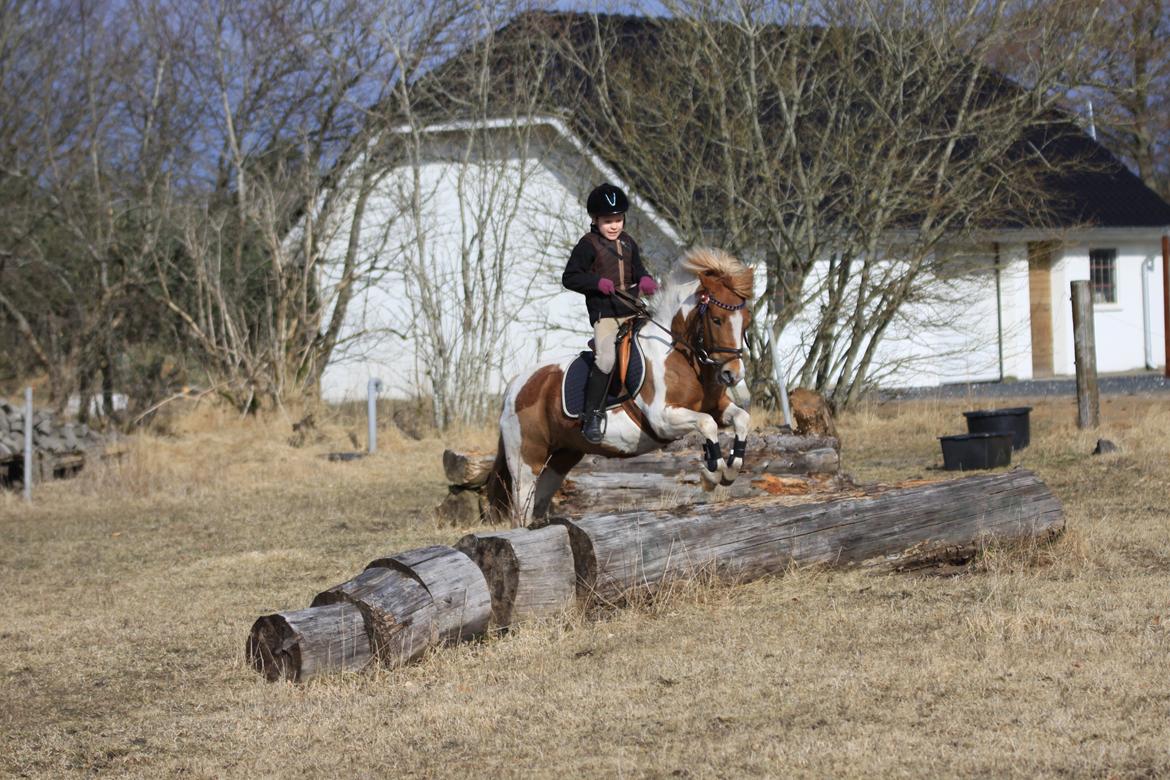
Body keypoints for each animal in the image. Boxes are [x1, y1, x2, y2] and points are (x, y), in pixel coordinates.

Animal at [486, 249, 753, 523]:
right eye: (717, 320)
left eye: (746, 321)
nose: (733, 375)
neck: (681, 355)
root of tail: (516, 385)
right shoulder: (662, 418)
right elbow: (707, 424)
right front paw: (712, 474)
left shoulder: (716, 407)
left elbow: (741, 418)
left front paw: (730, 469)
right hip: (527, 459)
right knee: (521, 506)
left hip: (561, 457)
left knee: (539, 500)